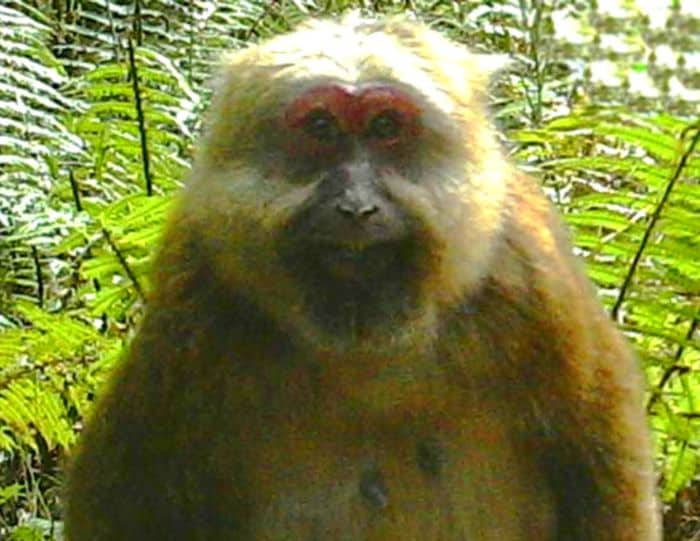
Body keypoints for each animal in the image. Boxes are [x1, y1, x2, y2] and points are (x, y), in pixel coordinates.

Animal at [64, 14, 661, 541]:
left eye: (386, 127)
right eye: (321, 127)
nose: (356, 206)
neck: (366, 340)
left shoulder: (533, 279)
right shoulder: (193, 292)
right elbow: (123, 502)